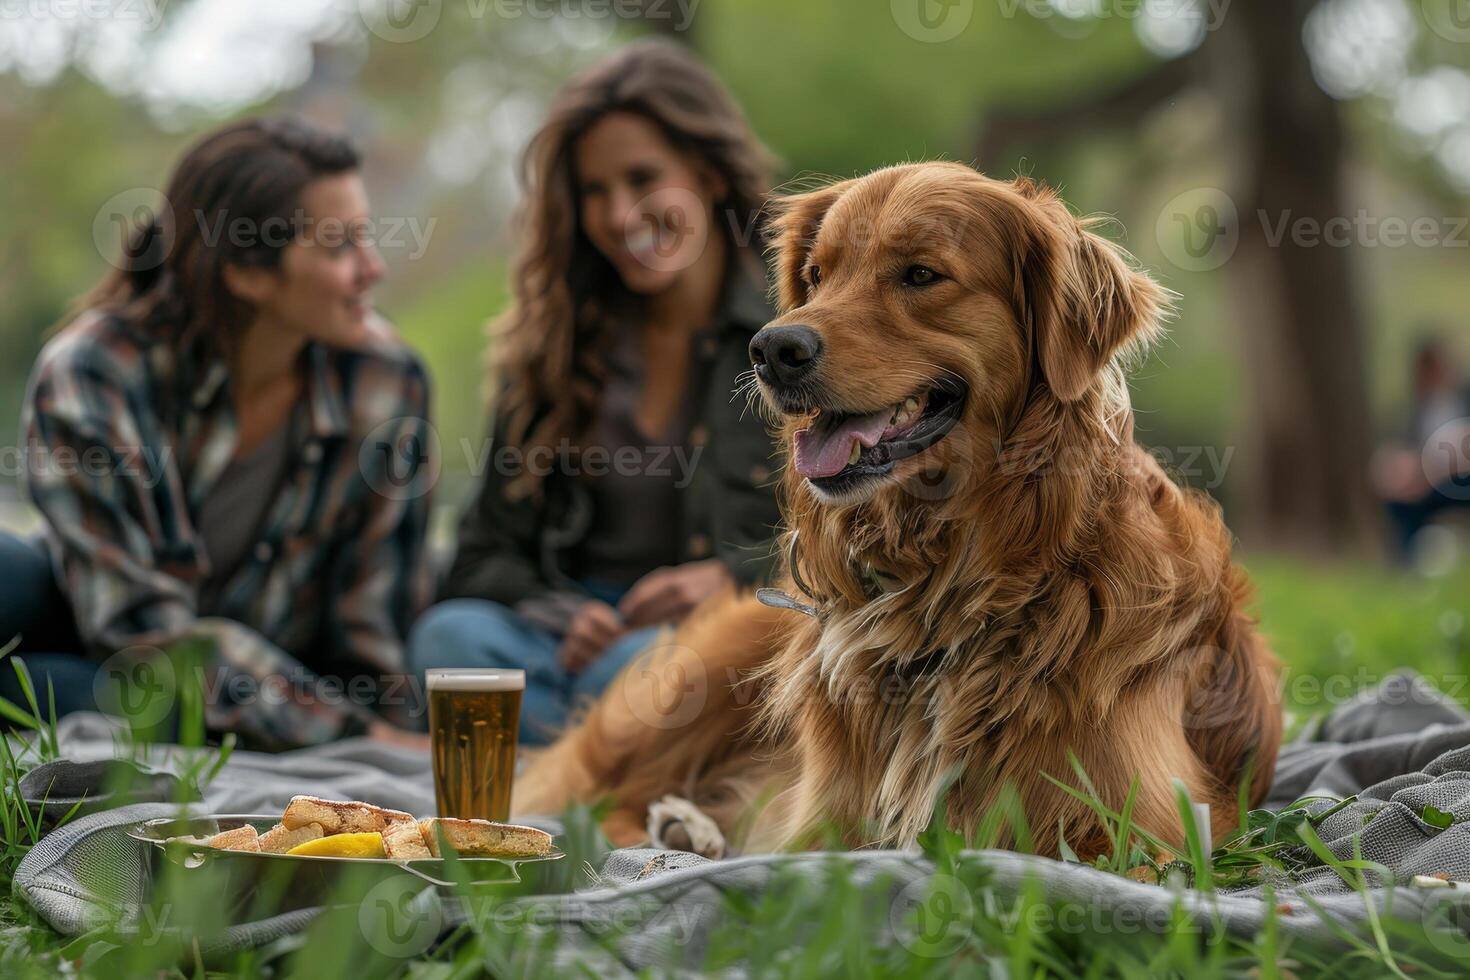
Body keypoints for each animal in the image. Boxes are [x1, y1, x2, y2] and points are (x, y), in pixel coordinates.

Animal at [511, 164, 1281, 863]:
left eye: (919, 274)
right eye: (816, 275)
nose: (771, 349)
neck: (955, 573)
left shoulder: (1149, 833)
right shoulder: (827, 821)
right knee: (593, 797)